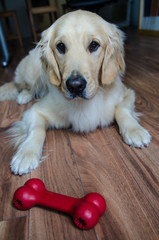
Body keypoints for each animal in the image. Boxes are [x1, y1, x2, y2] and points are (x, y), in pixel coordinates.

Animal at [0, 10, 152, 174]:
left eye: (94, 45)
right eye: (60, 46)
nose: (75, 86)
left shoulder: (127, 93)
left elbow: (122, 110)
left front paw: (135, 130)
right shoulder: (35, 111)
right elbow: (37, 130)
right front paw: (26, 154)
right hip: (30, 73)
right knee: (20, 84)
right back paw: (24, 95)